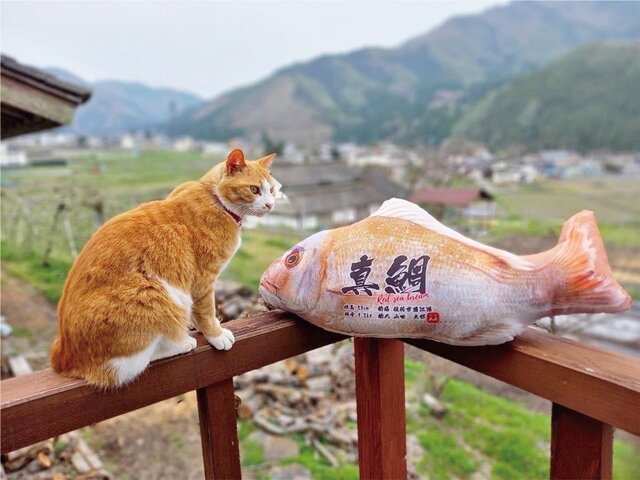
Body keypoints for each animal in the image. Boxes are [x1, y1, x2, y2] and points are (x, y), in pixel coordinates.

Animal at [51, 148, 276, 388]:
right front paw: (216, 334)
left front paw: (202, 325)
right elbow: (206, 310)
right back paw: (182, 343)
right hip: (158, 296)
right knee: (133, 365)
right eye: (254, 189)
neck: (214, 198)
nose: (270, 205)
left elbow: (200, 312)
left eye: (272, 190)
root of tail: (63, 355)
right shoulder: (203, 279)